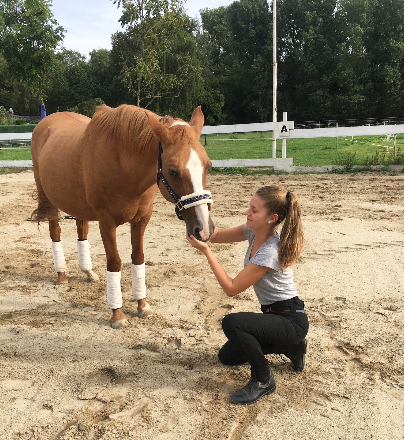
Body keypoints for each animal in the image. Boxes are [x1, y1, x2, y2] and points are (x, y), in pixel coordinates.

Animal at [30, 105, 215, 328]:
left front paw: (142, 305)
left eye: (208, 165)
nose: (204, 229)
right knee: (55, 232)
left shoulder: (142, 219)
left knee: (81, 230)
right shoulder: (106, 223)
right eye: (172, 171)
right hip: (49, 201)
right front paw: (117, 314)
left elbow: (138, 258)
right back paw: (61, 274)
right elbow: (114, 262)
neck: (122, 164)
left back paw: (88, 272)